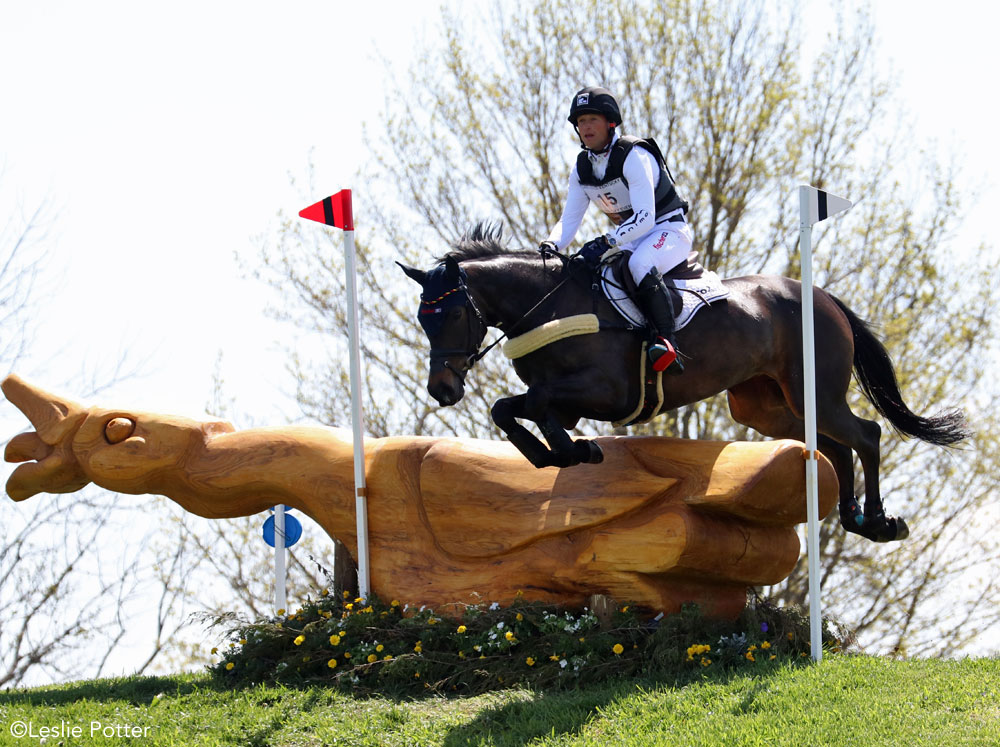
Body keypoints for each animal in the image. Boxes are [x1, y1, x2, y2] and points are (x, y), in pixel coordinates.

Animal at [398, 222, 968, 544]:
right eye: (424, 319)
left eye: (451, 314)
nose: (442, 390)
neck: (550, 306)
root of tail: (822, 296)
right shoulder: (567, 402)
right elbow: (512, 409)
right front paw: (554, 454)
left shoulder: (605, 392)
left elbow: (528, 405)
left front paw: (575, 451)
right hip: (766, 407)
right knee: (835, 445)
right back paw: (853, 518)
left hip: (815, 393)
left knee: (866, 435)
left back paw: (879, 522)